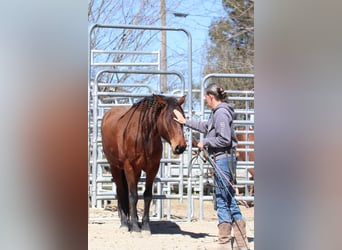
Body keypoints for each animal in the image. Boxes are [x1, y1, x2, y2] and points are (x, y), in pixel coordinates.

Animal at [101, 94, 187, 233]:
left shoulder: (152, 169)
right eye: (170, 119)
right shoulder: (129, 167)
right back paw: (125, 224)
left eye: (183, 119)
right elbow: (133, 196)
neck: (144, 137)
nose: (181, 147)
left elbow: (147, 196)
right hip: (116, 168)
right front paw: (136, 227)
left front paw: (145, 226)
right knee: (121, 192)